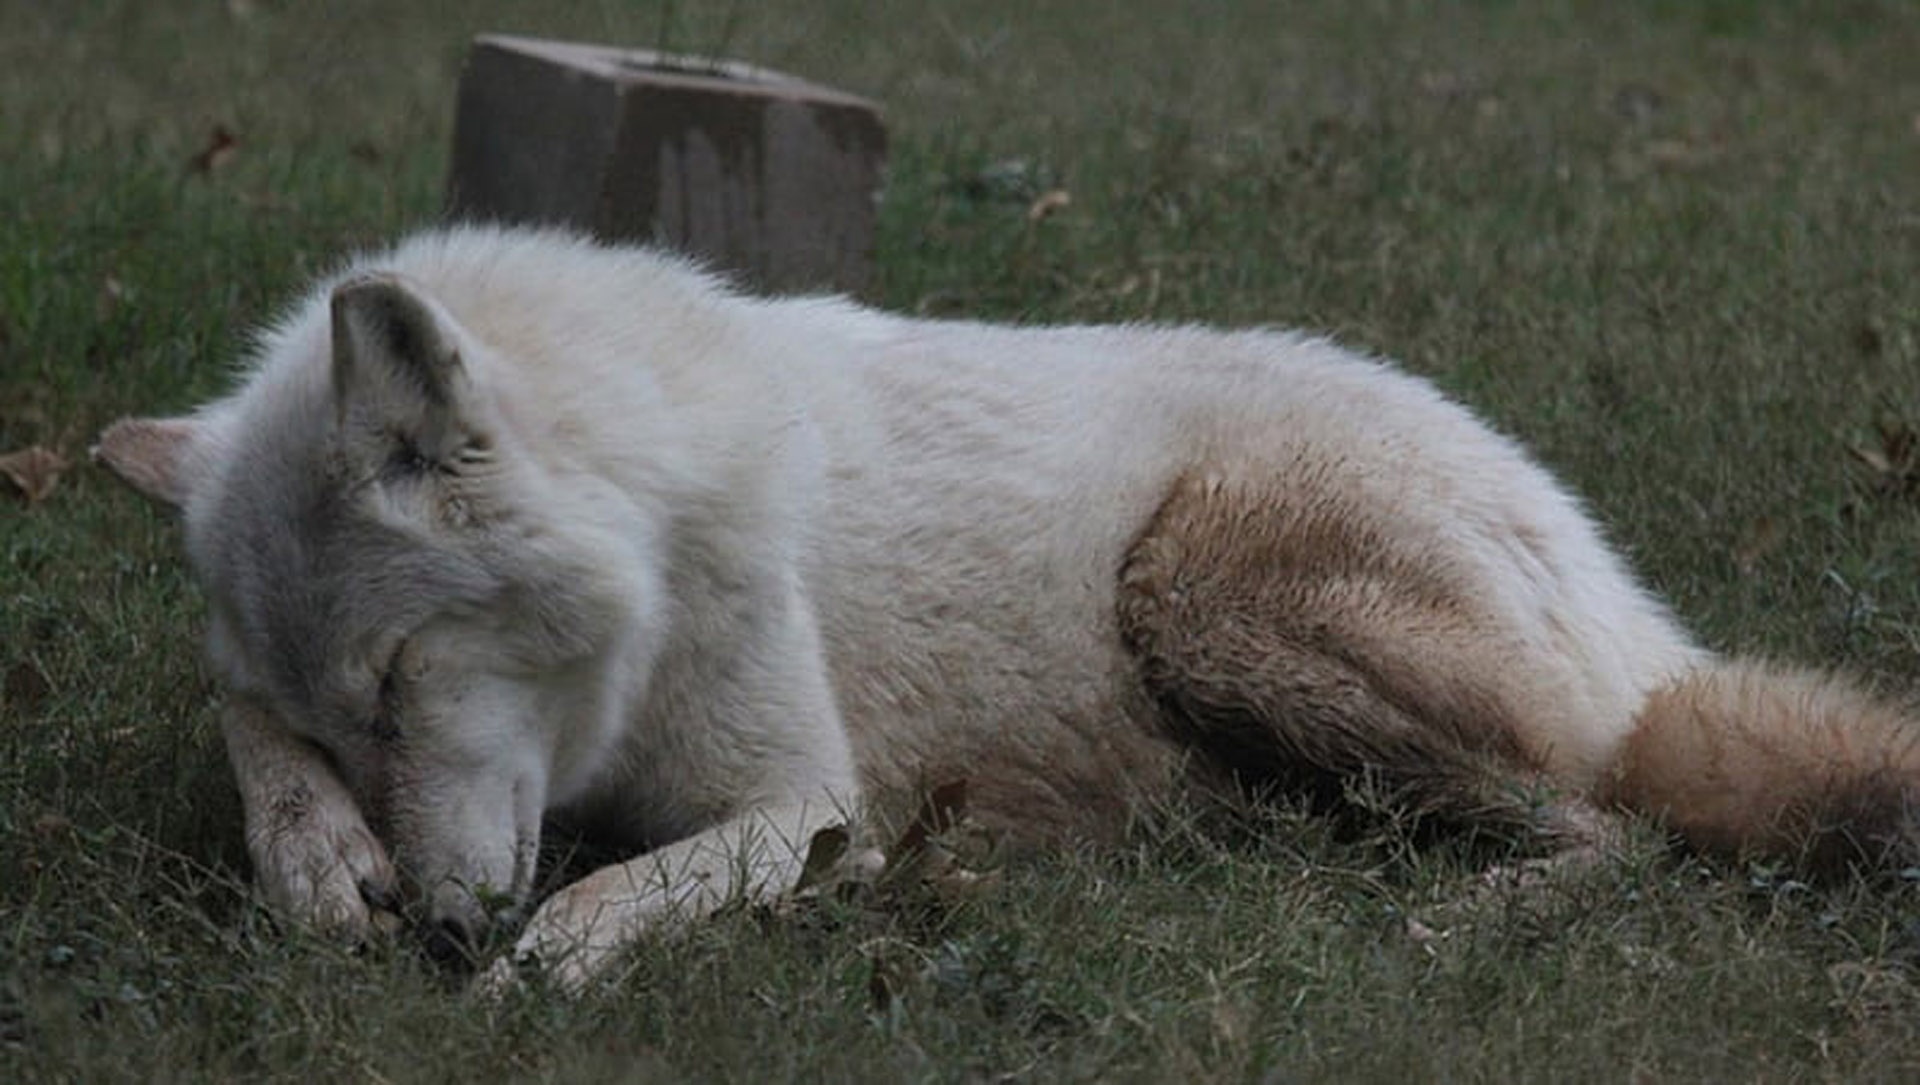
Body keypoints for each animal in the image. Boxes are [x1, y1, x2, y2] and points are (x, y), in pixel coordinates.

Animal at [101, 226, 1920, 990]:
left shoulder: (802, 796)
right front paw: (319, 859)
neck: (656, 499)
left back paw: (1443, 917)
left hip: (1190, 593)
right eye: (348, 719)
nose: (437, 934)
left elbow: (610, 901)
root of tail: (1640, 623)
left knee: (1620, 834)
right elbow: (238, 726)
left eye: (401, 687)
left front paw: (532, 968)